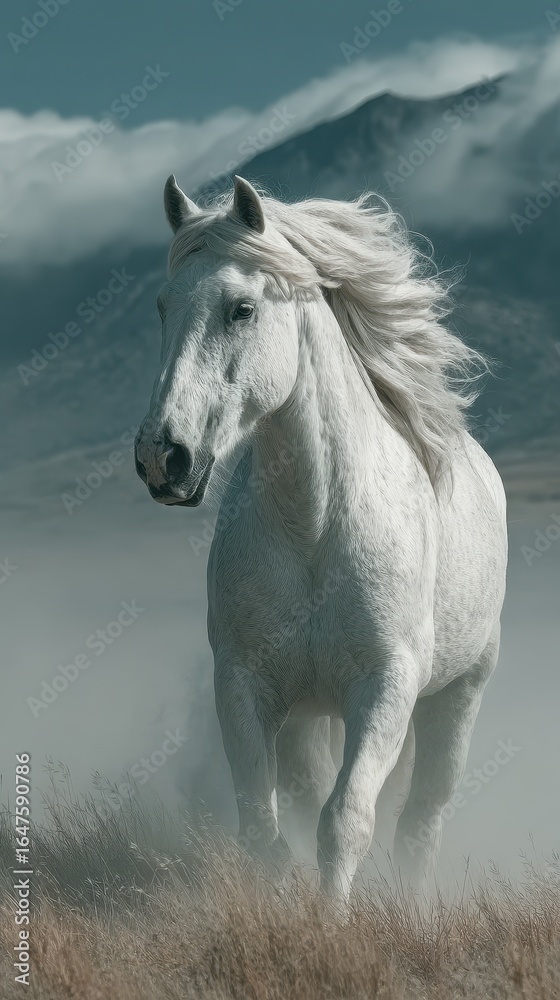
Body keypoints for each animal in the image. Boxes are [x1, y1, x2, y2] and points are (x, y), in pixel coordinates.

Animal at [134, 174, 507, 902]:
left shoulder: (386, 686)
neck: (315, 527)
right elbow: (266, 830)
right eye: (163, 306)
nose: (163, 457)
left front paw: (334, 921)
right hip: (308, 717)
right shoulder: (244, 685)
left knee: (421, 821)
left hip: (457, 694)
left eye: (242, 309)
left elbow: (348, 821)